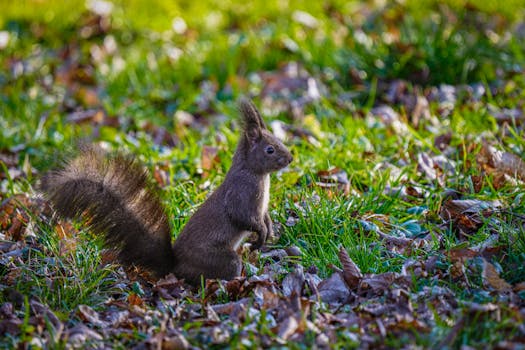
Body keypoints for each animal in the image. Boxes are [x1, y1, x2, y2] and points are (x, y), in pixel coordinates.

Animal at [40, 98, 292, 284]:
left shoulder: (260, 206)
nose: (290, 158)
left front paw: (269, 231)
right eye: (270, 149)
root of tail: (175, 266)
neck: (256, 174)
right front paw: (261, 236)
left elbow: (264, 217)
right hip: (220, 259)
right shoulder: (241, 195)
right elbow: (243, 217)